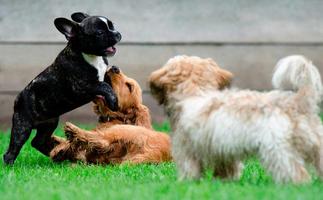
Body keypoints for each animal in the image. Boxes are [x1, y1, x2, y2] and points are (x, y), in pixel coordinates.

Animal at [3, 12, 123, 164]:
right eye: (100, 33)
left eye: (112, 26)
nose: (117, 33)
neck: (91, 56)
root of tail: (17, 100)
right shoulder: (81, 87)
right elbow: (103, 85)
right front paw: (113, 101)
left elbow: (107, 81)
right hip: (22, 126)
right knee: (13, 148)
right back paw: (10, 165)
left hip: (49, 123)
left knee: (38, 141)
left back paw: (56, 154)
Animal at [149, 54, 323, 183]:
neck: (196, 93)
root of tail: (298, 101)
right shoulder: (224, 151)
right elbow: (227, 169)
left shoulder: (186, 150)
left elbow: (190, 169)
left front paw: (186, 183)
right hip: (317, 145)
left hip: (277, 150)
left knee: (296, 173)